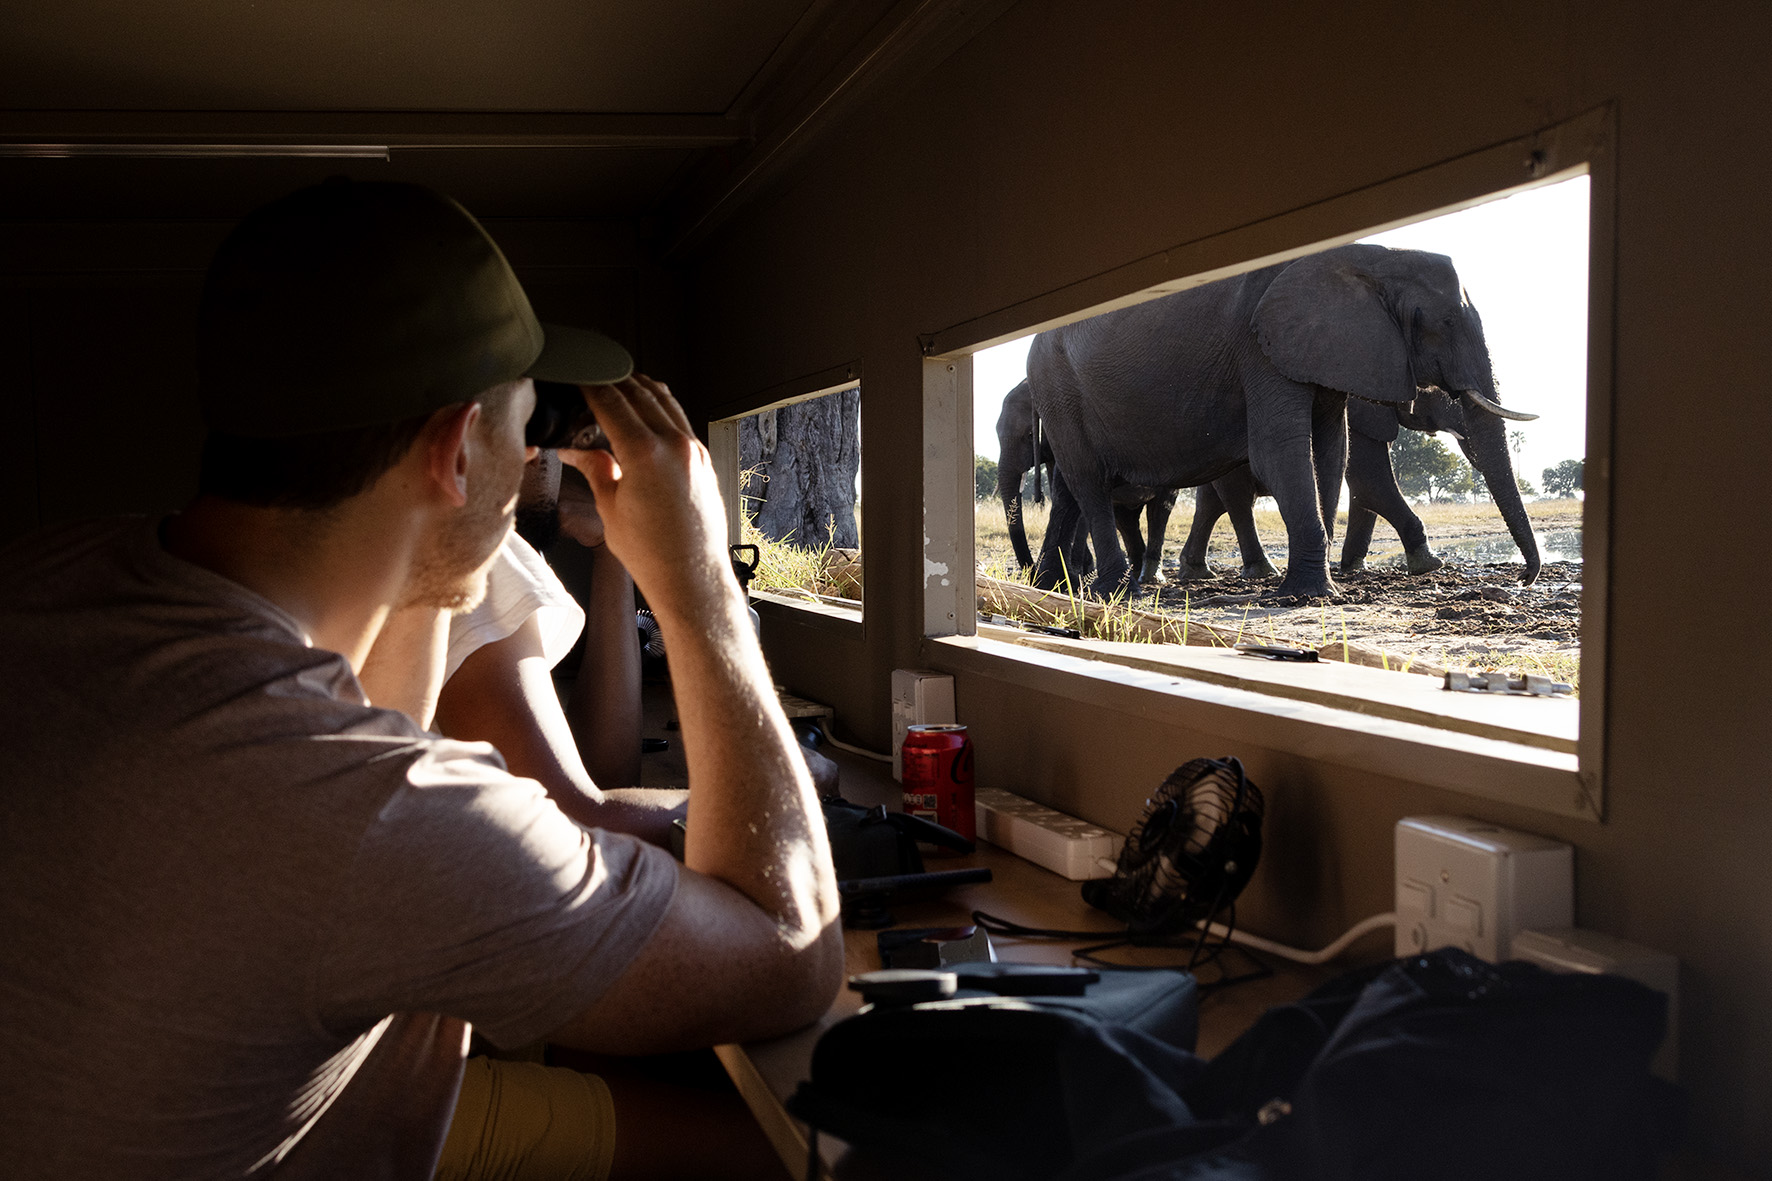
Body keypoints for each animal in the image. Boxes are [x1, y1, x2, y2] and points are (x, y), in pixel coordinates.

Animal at [1183, 390, 1545, 585]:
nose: (1523, 579)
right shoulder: (1356, 413)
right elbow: (1371, 482)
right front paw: (1431, 563)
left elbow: (1363, 493)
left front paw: (1354, 566)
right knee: (1238, 501)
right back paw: (1261, 571)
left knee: (1210, 503)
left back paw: (1196, 571)